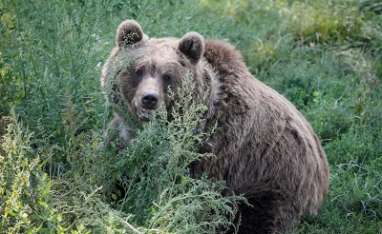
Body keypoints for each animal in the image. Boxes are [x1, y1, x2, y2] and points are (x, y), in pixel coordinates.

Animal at [100, 20, 330, 234]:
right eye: (138, 70)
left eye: (168, 76)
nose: (149, 99)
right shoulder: (123, 136)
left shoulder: (213, 149)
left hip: (274, 181)